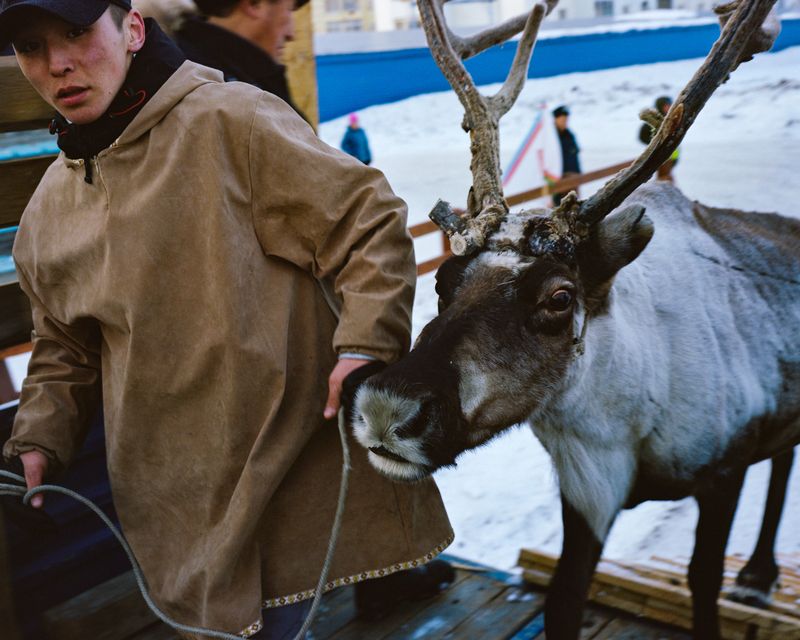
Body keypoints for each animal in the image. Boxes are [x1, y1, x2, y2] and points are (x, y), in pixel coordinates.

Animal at [349, 0, 799, 638]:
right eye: (441, 279)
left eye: (560, 298)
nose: (387, 407)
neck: (623, 415)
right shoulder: (585, 489)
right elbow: (563, 597)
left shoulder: (725, 466)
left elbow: (703, 582)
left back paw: (758, 576)